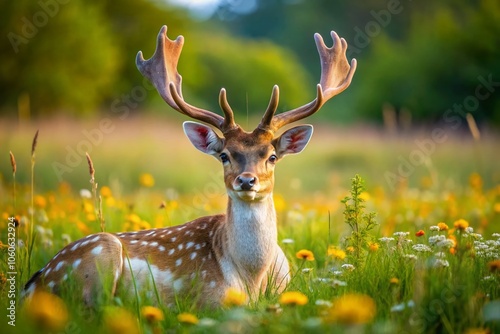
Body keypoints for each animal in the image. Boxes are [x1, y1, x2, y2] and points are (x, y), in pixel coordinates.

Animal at [22, 25, 356, 308]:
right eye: (225, 155)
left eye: (271, 156)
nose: (246, 181)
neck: (253, 279)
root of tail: (34, 281)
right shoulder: (210, 299)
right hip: (98, 254)